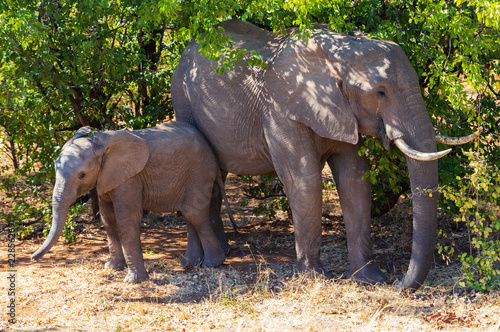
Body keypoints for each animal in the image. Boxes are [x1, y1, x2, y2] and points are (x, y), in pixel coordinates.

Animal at [32, 122, 231, 282]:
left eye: (82, 175)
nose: (32, 258)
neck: (100, 145)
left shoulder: (130, 178)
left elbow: (126, 220)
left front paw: (133, 281)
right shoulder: (106, 177)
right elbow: (108, 219)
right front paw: (112, 267)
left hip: (199, 173)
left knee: (194, 214)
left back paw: (212, 264)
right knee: (189, 215)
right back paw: (189, 263)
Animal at [172, 20, 476, 290]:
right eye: (380, 92)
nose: (398, 284)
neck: (340, 54)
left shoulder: (343, 111)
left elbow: (354, 178)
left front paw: (369, 279)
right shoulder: (280, 109)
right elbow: (304, 180)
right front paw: (314, 279)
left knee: (216, 176)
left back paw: (222, 253)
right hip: (182, 99)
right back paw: (198, 262)